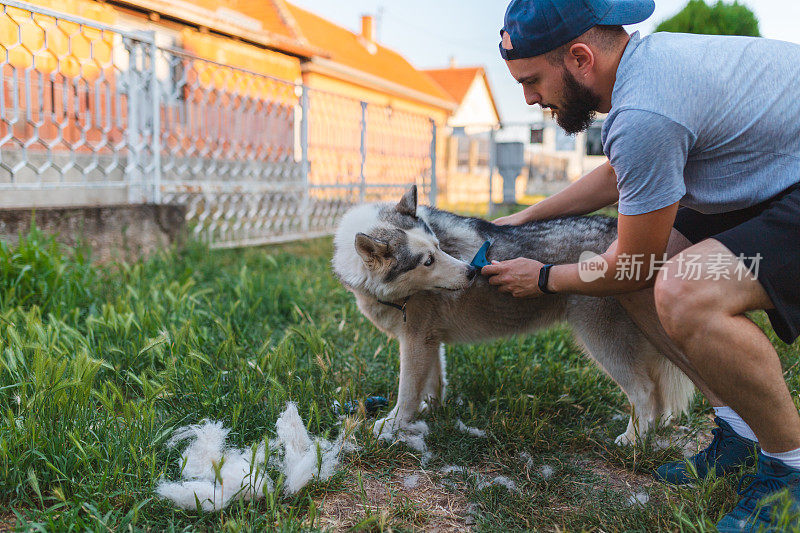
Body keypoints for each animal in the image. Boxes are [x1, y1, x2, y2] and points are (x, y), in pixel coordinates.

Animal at [332, 187, 692, 444]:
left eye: (437, 248)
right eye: (428, 261)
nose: (470, 273)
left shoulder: (415, 341)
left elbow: (407, 390)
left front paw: (393, 425)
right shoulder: (427, 340)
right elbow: (432, 382)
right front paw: (429, 411)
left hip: (602, 343)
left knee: (645, 391)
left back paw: (633, 441)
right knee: (657, 397)